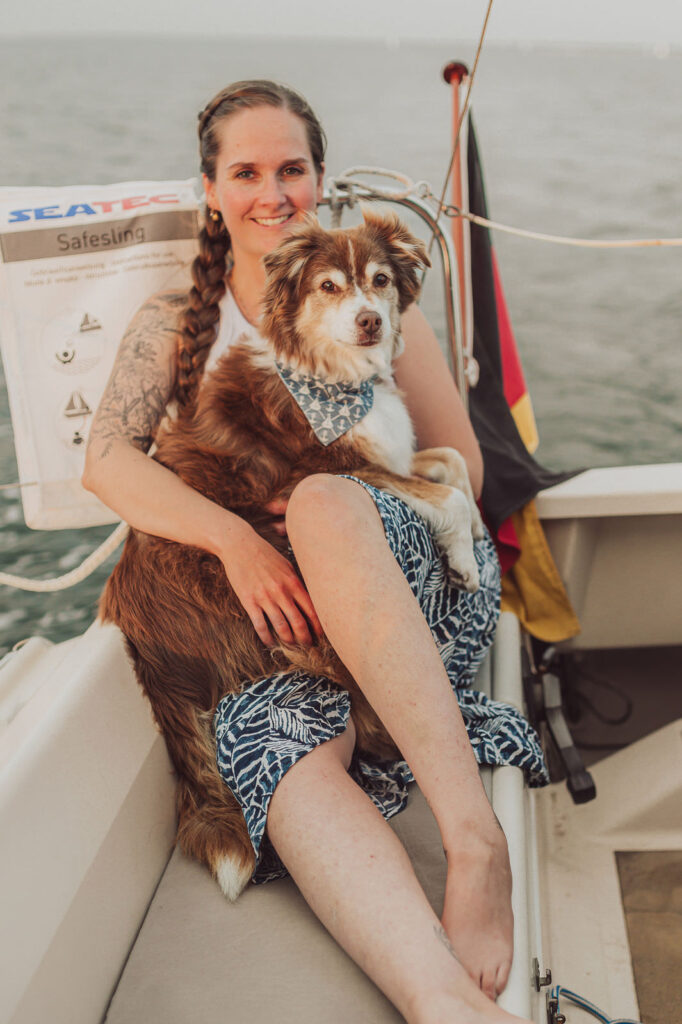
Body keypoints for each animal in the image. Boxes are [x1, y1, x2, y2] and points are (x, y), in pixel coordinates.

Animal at [100, 205, 483, 897]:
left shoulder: (392, 455)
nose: (370, 321)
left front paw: (475, 551)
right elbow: (446, 495)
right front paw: (464, 557)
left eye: (381, 280)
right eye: (328, 286)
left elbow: (455, 465)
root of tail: (134, 631)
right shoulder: (331, 469)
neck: (334, 377)